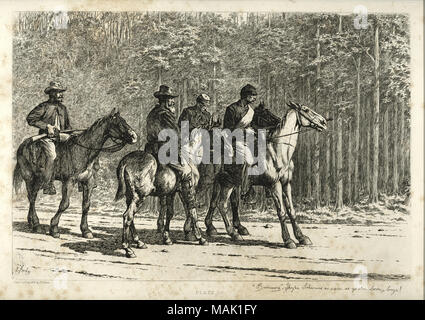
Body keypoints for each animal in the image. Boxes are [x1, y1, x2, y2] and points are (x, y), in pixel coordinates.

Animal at [13, 109, 137, 239]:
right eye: (118, 123)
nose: (134, 136)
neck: (83, 151)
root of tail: (23, 145)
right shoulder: (69, 181)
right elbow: (64, 204)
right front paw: (54, 228)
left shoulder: (88, 182)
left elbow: (86, 205)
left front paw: (85, 230)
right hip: (31, 177)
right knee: (32, 198)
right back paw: (36, 225)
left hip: (37, 180)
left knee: (32, 196)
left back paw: (31, 222)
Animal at [204, 102, 326, 248]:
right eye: (306, 110)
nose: (323, 122)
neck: (278, 152)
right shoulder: (274, 185)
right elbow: (282, 212)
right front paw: (288, 240)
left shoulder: (286, 184)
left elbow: (291, 211)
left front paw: (301, 237)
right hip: (228, 183)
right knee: (221, 204)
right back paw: (232, 233)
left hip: (222, 182)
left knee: (215, 202)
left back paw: (213, 228)